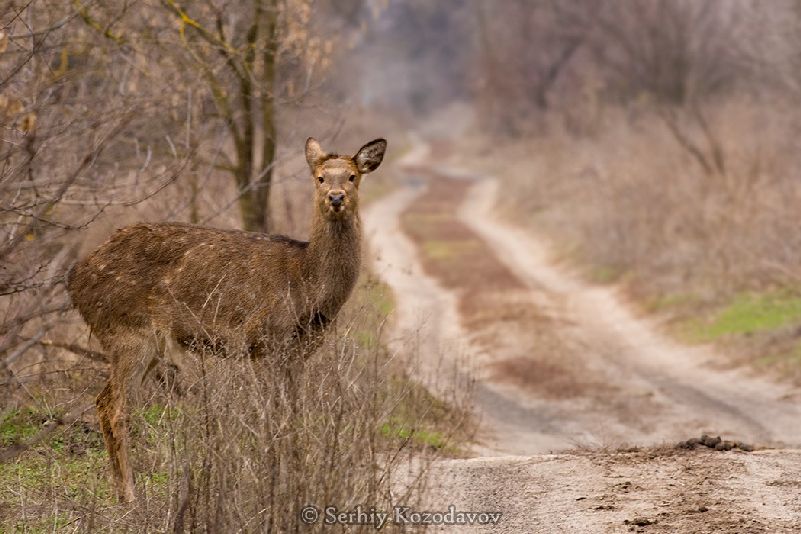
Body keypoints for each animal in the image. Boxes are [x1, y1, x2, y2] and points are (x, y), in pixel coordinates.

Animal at [67, 137, 386, 502]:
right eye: (319, 178)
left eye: (352, 176)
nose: (335, 197)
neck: (307, 285)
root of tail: (74, 281)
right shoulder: (264, 340)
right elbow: (271, 417)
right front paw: (273, 481)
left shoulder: (296, 354)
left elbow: (293, 415)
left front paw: (297, 478)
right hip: (128, 332)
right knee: (114, 407)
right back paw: (131, 495)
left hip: (142, 343)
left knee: (103, 400)